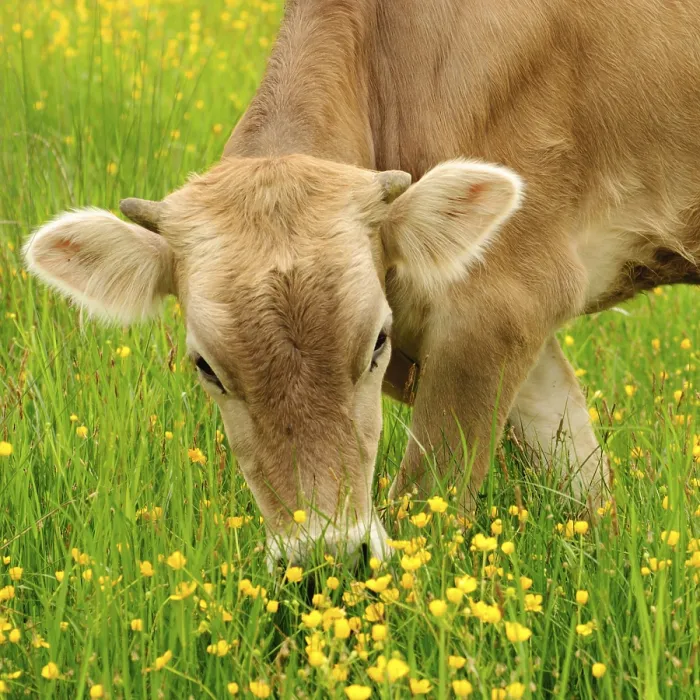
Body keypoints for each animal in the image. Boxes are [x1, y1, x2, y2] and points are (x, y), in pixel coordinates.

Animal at [23, 0, 700, 563]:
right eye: (206, 367)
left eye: (376, 341)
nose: (328, 558)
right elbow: (585, 484)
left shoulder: (501, 300)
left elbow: (430, 502)